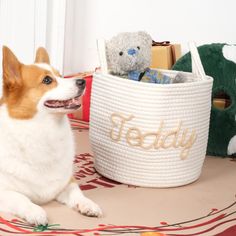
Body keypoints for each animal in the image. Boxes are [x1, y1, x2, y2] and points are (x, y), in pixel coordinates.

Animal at [0, 46, 102, 225]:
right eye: (47, 80)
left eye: (60, 75)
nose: (82, 82)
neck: (44, 129)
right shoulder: (4, 192)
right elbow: (20, 197)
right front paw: (35, 211)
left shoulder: (66, 183)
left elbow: (77, 193)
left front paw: (87, 204)